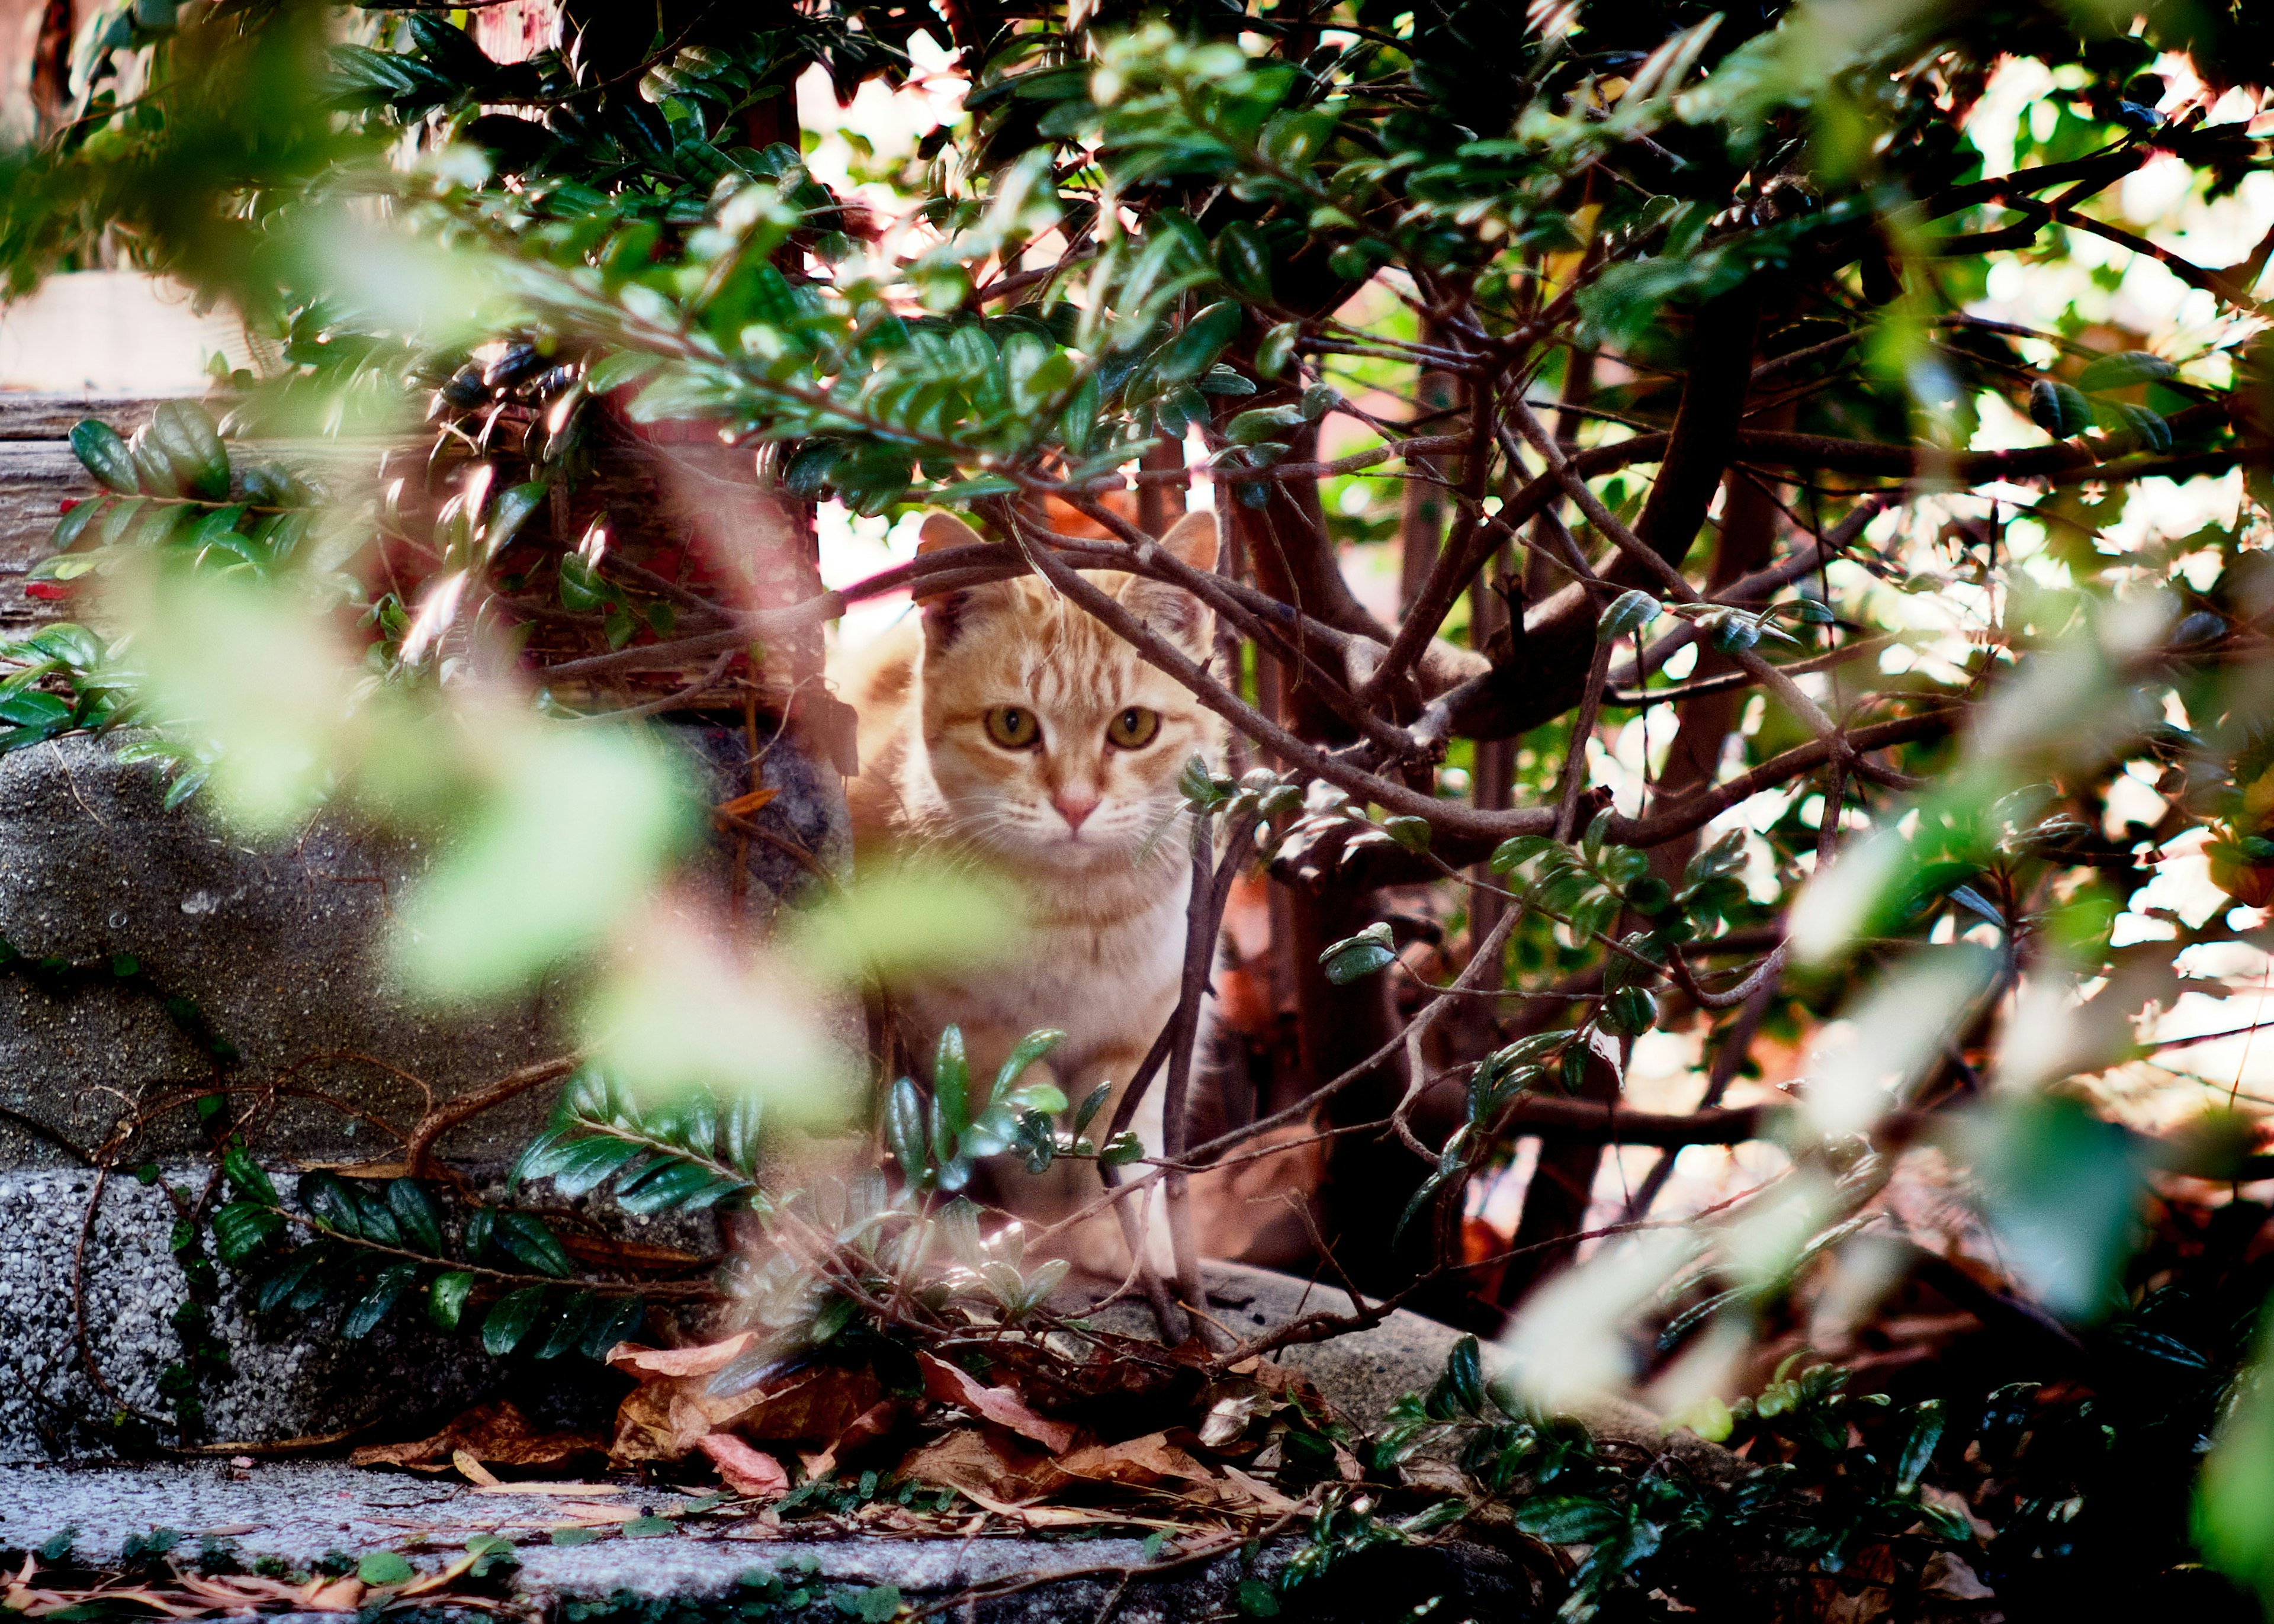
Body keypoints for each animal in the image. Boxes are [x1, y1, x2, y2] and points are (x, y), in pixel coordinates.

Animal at [837, 504, 1228, 1255]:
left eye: (1133, 727)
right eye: (1012, 725)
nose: (1075, 804)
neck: (1077, 919)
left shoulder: (1148, 1031)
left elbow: (1118, 1136)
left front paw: (1120, 1235)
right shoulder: (969, 1030)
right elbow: (1025, 1132)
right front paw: (1046, 1234)